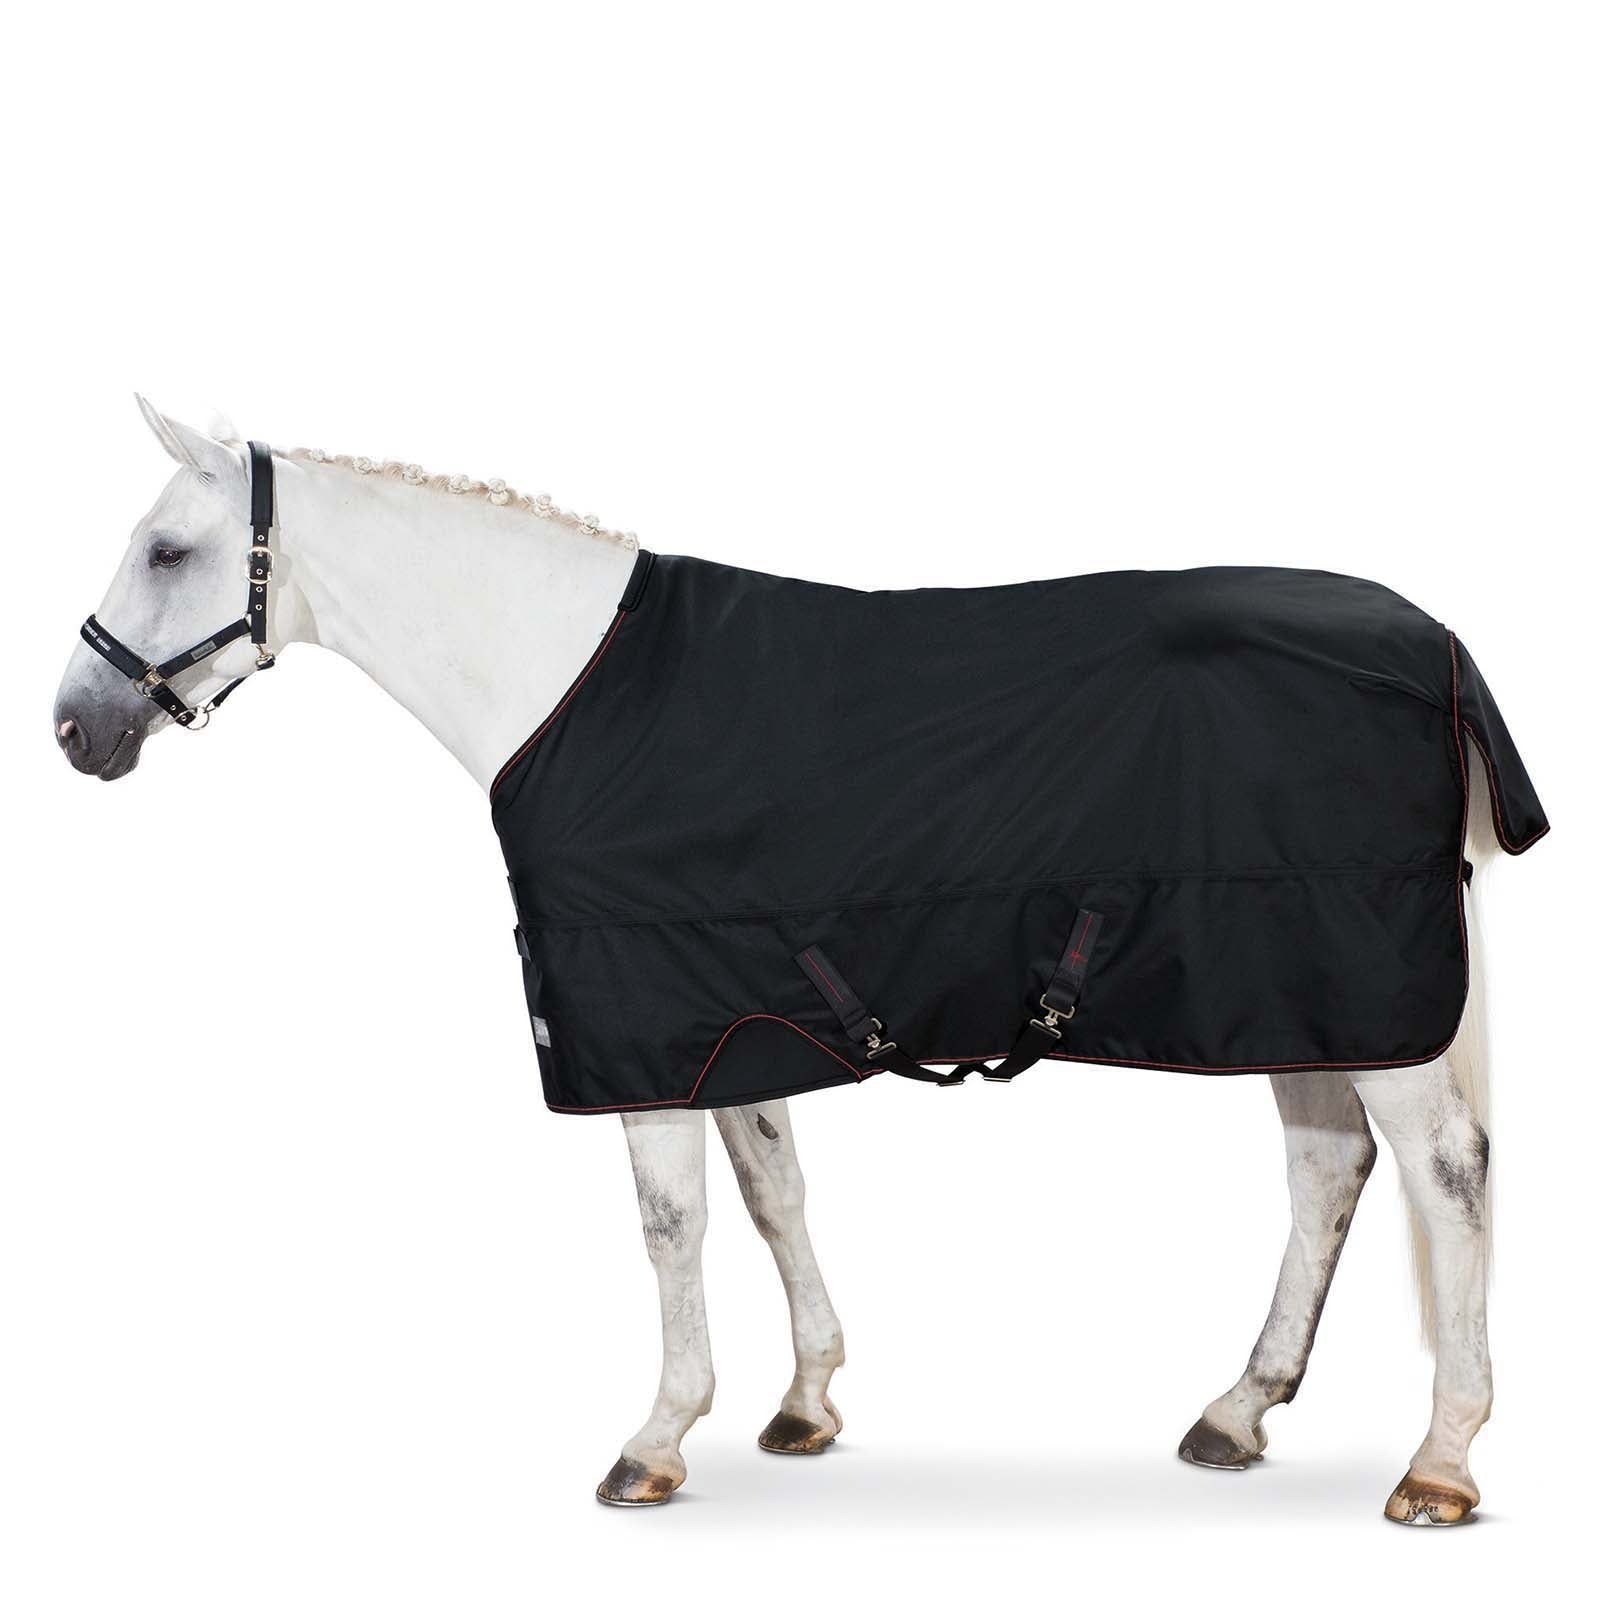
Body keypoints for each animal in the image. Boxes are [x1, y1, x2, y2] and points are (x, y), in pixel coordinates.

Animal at [53, 398, 1540, 1525]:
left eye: (170, 550)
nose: (78, 726)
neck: (567, 684)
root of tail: (1434, 649)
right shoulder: (730, 1012)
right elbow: (774, 1194)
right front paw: (805, 1399)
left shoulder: (644, 1032)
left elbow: (674, 1225)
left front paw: (657, 1437)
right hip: (1301, 996)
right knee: (1327, 1171)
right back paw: (1238, 1410)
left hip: (1363, 996)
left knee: (1447, 1172)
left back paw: (1441, 1462)